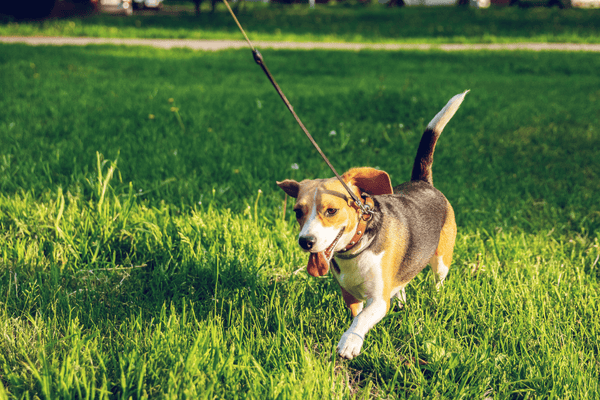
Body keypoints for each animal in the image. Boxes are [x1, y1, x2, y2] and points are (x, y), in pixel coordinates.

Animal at [276, 91, 468, 360]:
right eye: (297, 212)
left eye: (331, 210)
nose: (306, 242)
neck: (357, 248)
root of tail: (422, 182)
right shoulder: (349, 294)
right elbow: (357, 314)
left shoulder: (378, 299)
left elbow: (363, 318)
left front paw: (350, 342)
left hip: (442, 260)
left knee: (437, 281)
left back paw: (435, 299)